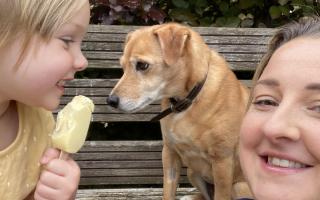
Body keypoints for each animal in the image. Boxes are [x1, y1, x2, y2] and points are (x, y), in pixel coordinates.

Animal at [106, 22, 251, 199]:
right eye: (122, 67)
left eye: (142, 65)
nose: (111, 101)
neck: (185, 101)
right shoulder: (170, 153)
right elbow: (168, 191)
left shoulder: (222, 162)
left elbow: (221, 195)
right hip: (192, 172)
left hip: (238, 187)